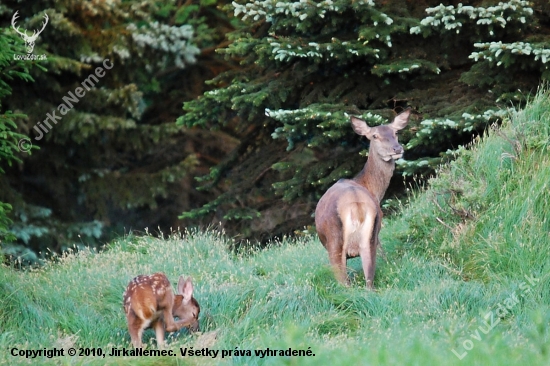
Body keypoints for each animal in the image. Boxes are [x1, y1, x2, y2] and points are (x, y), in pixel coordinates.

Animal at [316, 108, 412, 288]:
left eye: (396, 132)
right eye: (374, 136)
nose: (397, 149)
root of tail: (356, 205)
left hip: (335, 242)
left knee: (345, 283)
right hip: (369, 237)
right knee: (369, 281)